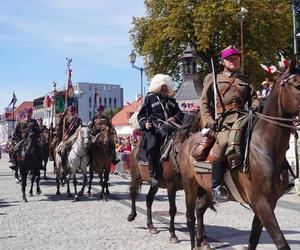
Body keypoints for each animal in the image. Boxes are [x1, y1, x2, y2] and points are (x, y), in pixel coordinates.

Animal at [126, 113, 199, 242]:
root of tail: (135, 149)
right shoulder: (171, 186)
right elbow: (172, 210)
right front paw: (173, 234)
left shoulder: (191, 189)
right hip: (136, 176)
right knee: (133, 192)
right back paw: (132, 215)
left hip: (155, 184)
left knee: (149, 200)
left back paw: (151, 226)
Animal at [178, 61, 300, 250]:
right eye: (297, 85)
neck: (266, 148)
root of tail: (188, 140)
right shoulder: (261, 203)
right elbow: (281, 243)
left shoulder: (268, 204)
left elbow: (253, 239)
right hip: (189, 185)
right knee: (190, 217)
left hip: (205, 188)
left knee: (199, 210)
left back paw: (202, 241)